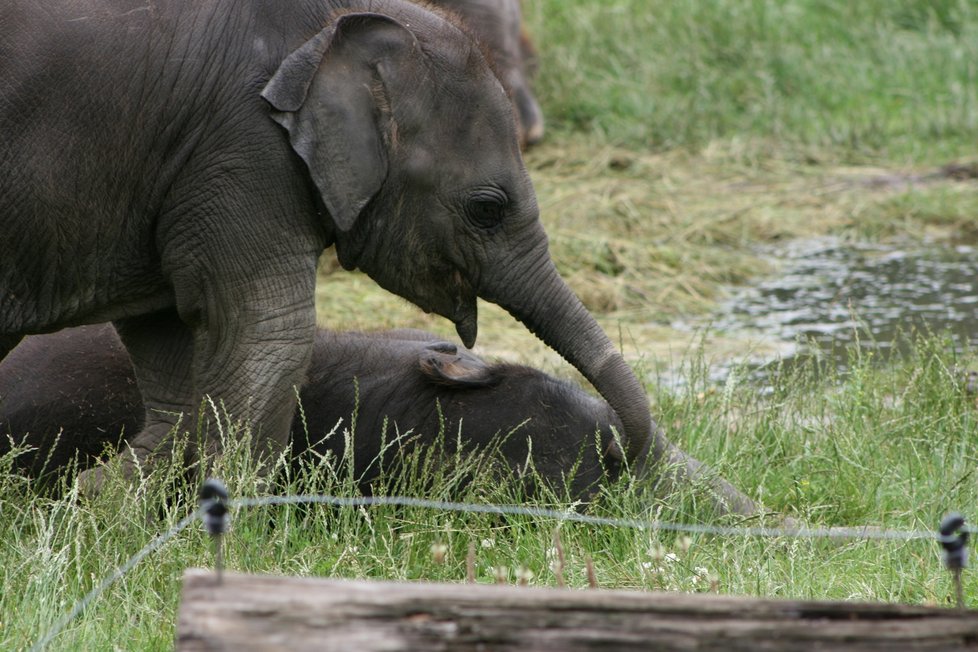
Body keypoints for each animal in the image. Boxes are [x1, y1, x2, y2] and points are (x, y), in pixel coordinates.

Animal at [0, 0, 692, 504]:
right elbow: (270, 336)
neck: (335, 23)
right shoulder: (244, 148)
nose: (618, 454)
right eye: (486, 209)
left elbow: (171, 341)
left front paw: (103, 509)